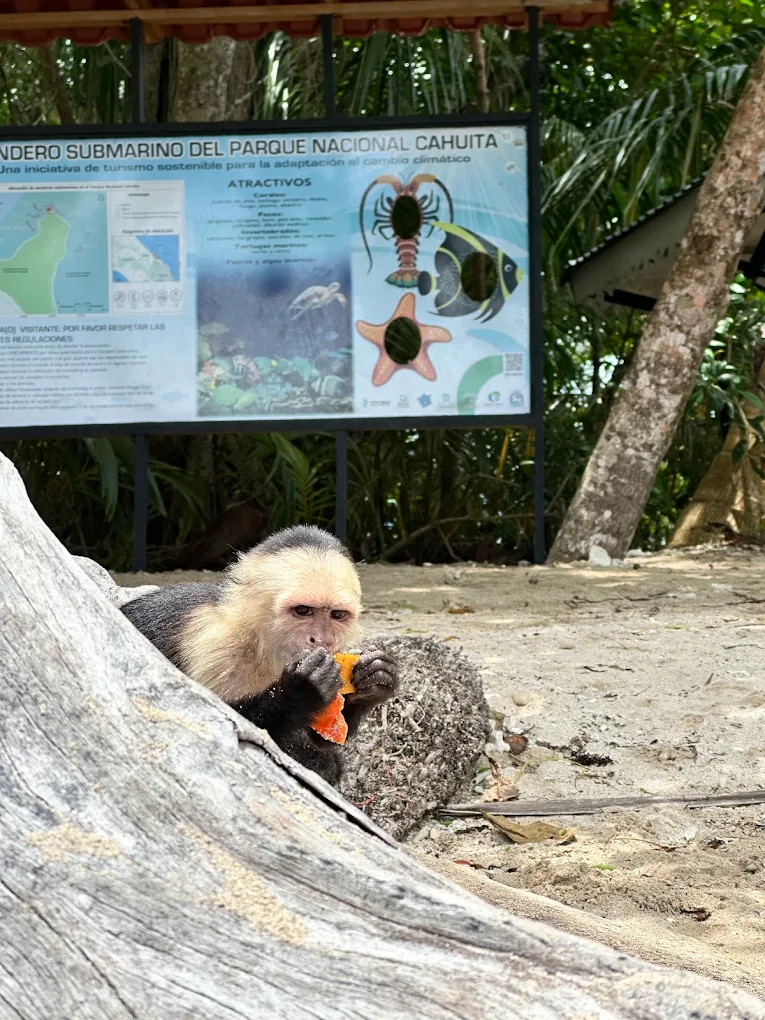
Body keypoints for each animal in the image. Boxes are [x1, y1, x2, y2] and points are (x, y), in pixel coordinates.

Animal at [120, 525, 397, 786]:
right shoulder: (216, 646)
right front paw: (300, 691)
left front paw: (375, 679)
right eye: (302, 610)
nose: (322, 640)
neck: (261, 642)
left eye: (337, 615)